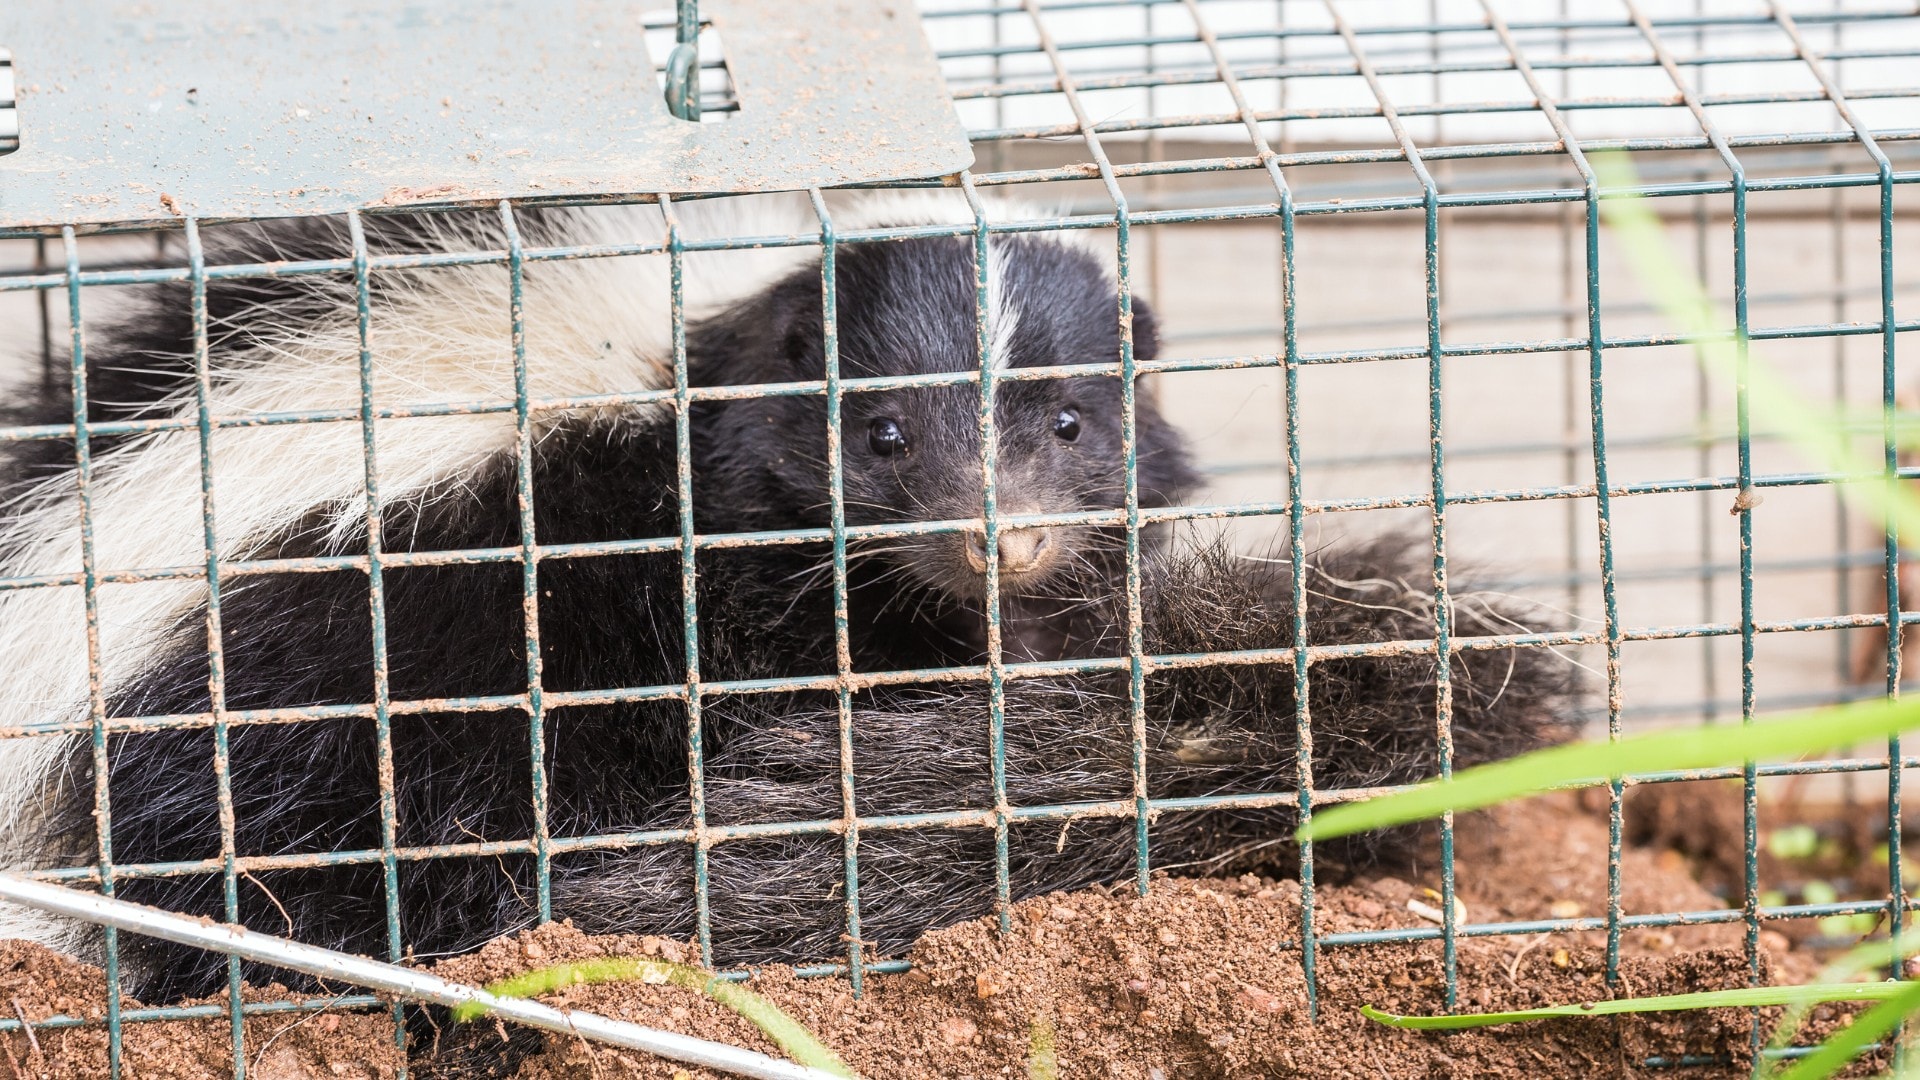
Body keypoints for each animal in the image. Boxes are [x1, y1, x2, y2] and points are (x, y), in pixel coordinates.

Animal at [0, 189, 1574, 1022]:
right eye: (878, 436)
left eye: (1070, 425)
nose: (993, 542)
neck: (689, 360)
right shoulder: (692, 575)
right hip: (313, 713)